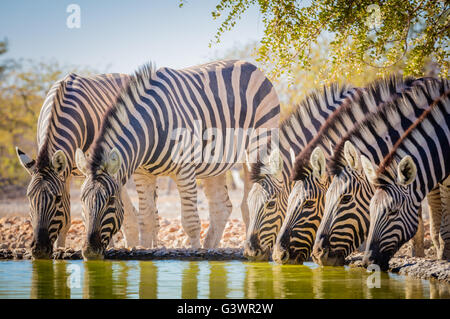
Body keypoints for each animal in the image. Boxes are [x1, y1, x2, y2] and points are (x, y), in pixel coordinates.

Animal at [14, 71, 145, 258]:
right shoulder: (66, 173)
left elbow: (73, 217)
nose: (39, 250)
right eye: (29, 197)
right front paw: (60, 252)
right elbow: (67, 221)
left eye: (57, 199)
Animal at [74, 60, 282, 260]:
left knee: (248, 203)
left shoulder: (185, 171)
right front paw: (144, 251)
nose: (89, 252)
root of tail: (249, 64)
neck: (152, 128)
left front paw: (196, 254)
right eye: (82, 200)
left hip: (257, 147)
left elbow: (190, 221)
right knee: (221, 207)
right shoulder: (142, 174)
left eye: (111, 200)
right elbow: (146, 220)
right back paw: (211, 248)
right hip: (216, 162)